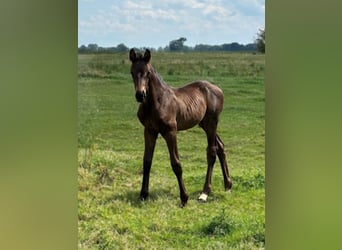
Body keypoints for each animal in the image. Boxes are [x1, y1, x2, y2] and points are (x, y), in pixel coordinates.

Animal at [129, 48, 232, 205]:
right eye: (132, 72)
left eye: (148, 73)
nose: (140, 95)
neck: (156, 102)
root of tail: (217, 89)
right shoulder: (149, 131)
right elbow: (147, 161)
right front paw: (143, 195)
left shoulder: (171, 132)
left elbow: (176, 164)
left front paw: (184, 197)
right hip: (203, 123)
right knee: (220, 146)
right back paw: (228, 184)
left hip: (211, 122)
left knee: (212, 151)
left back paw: (205, 192)